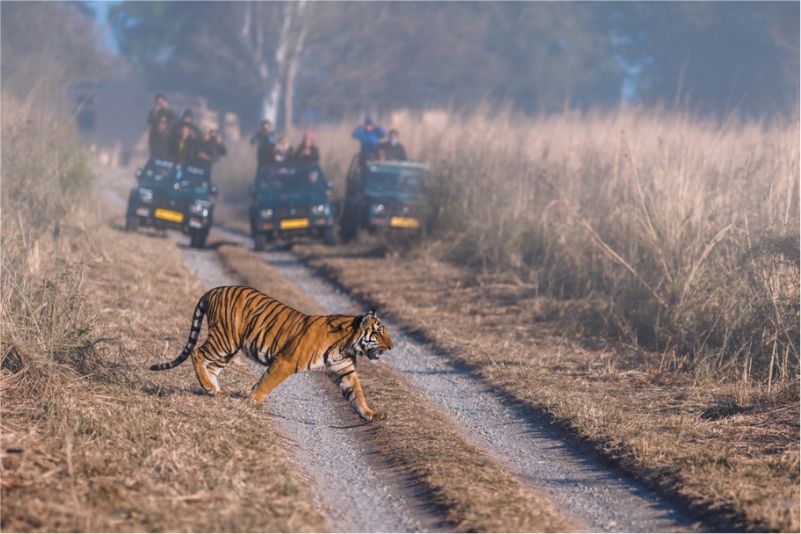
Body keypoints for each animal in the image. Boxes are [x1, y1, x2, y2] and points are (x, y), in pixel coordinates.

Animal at [149, 285, 392, 421]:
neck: (346, 345)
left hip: (229, 347)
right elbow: (267, 382)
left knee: (212, 367)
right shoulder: (286, 361)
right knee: (197, 353)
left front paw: (372, 414)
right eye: (379, 333)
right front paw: (253, 402)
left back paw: (215, 392)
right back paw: (209, 387)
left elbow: (357, 395)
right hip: (224, 340)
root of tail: (214, 289)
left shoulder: (345, 371)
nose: (391, 347)